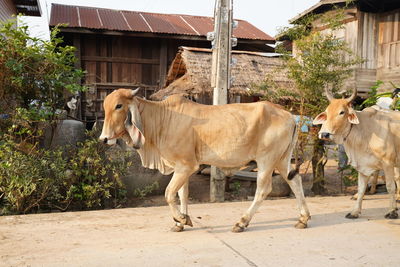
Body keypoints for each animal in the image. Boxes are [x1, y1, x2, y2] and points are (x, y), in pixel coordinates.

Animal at [99, 89, 310, 232]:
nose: (103, 139)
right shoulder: (181, 167)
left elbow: (169, 193)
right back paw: (303, 218)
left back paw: (241, 222)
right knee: (295, 181)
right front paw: (181, 221)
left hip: (266, 160)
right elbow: (182, 194)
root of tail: (289, 115)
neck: (162, 119)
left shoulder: (186, 166)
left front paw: (181, 219)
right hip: (282, 160)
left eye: (118, 106)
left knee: (263, 190)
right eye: (105, 107)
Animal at [314, 88, 398, 220]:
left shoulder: (388, 163)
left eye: (342, 112)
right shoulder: (363, 165)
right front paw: (355, 212)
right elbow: (361, 188)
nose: (324, 134)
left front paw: (392, 211)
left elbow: (390, 186)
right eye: (326, 112)